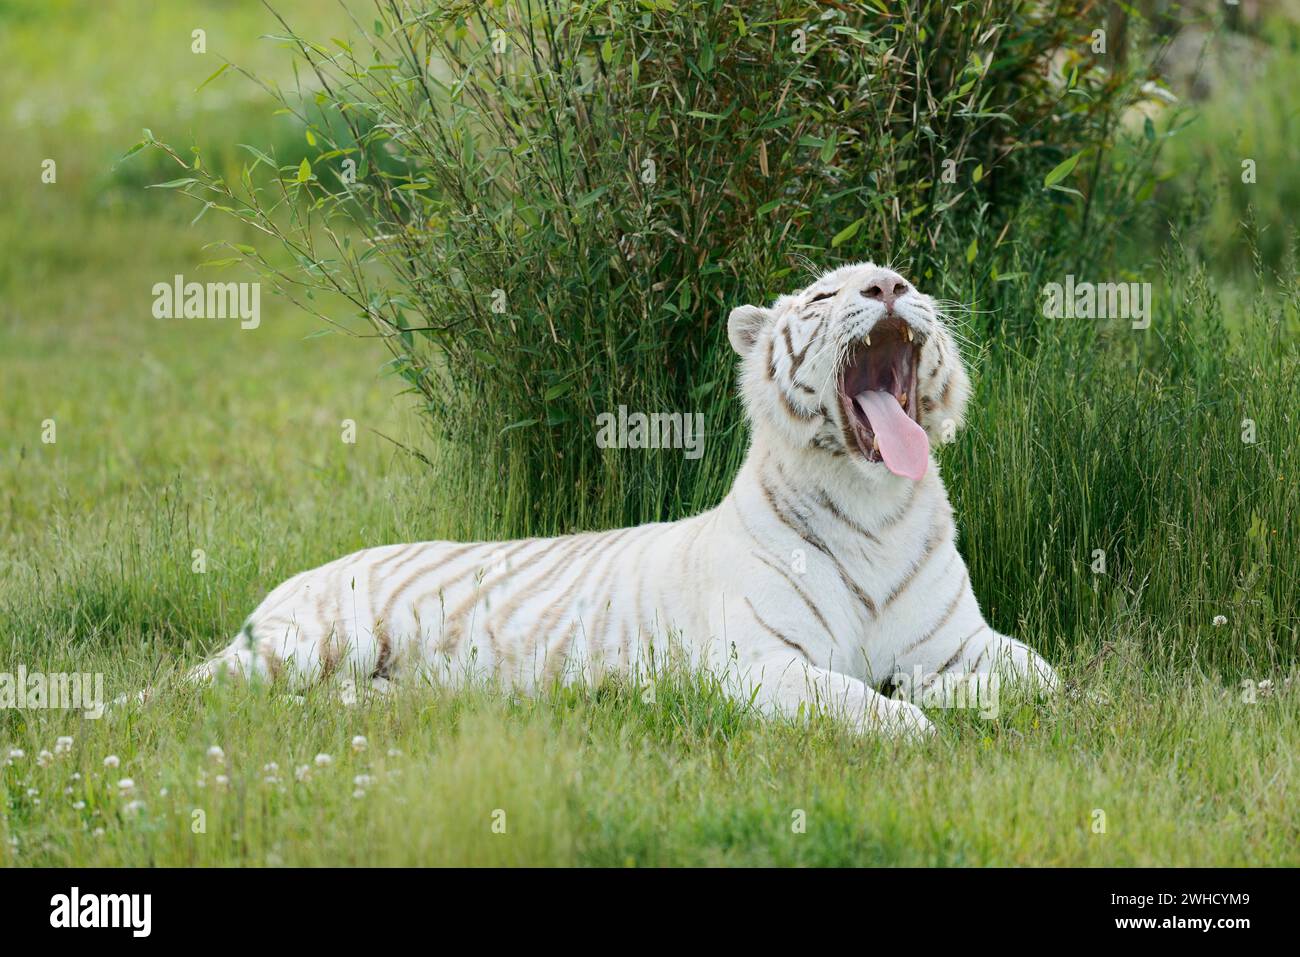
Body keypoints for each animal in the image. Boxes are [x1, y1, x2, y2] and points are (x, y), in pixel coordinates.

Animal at [197, 261, 1060, 733]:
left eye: (906, 279)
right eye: (822, 298)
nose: (888, 287)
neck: (876, 505)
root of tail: (295, 577)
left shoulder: (964, 637)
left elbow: (1046, 680)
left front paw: (945, 689)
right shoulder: (759, 663)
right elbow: (866, 707)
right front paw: (915, 713)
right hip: (301, 644)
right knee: (196, 689)